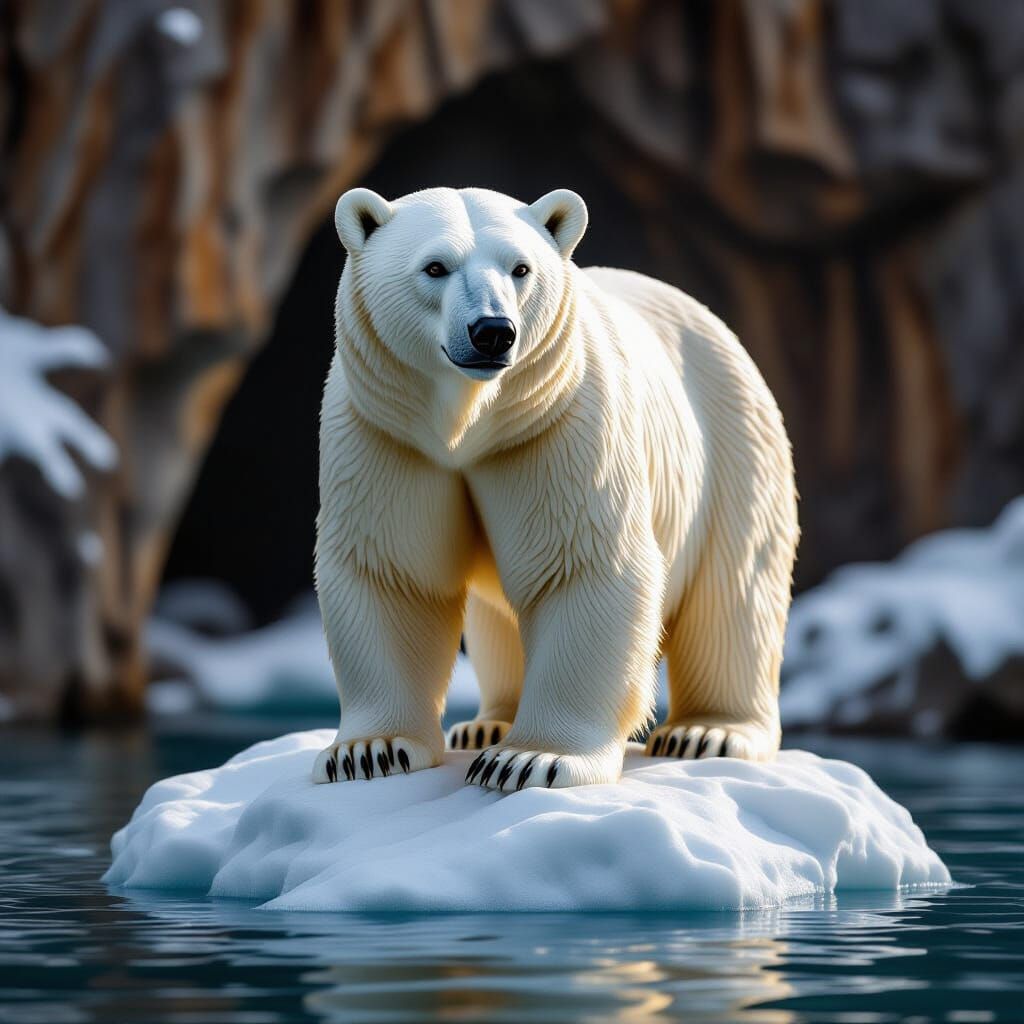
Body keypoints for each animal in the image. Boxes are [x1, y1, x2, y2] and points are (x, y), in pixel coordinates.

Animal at [312, 186, 798, 791]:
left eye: (521, 268)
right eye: (435, 266)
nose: (493, 331)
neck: (467, 426)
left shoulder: (560, 422)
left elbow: (581, 566)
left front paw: (530, 759)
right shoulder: (386, 432)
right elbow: (392, 571)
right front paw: (369, 751)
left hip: (733, 443)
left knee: (735, 589)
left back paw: (709, 731)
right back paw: (486, 723)